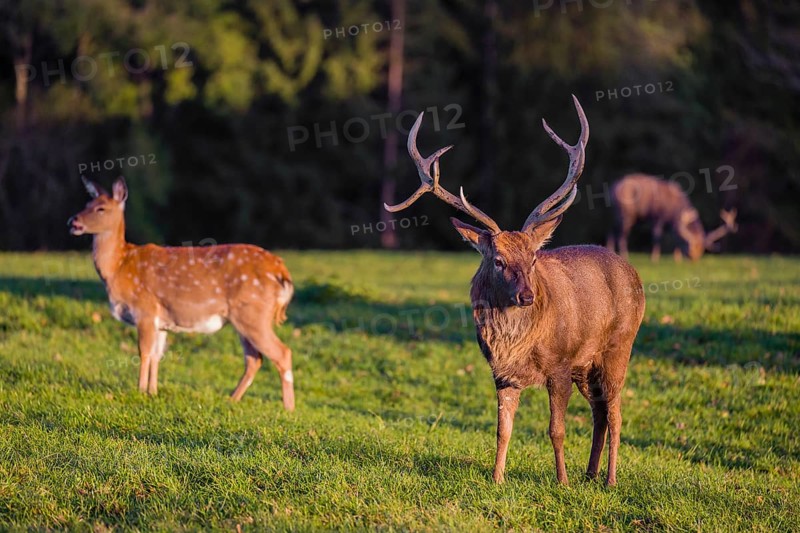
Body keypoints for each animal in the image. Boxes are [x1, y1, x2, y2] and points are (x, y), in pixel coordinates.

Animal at [68, 177, 296, 410]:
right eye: (86, 203)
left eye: (101, 208)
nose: (73, 221)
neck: (119, 267)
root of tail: (281, 270)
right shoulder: (160, 322)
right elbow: (157, 355)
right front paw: (152, 392)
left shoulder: (145, 309)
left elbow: (144, 352)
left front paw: (140, 391)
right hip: (245, 317)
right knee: (254, 358)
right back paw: (231, 399)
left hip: (253, 313)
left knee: (282, 353)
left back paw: (288, 409)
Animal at [384, 96, 645, 486]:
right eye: (498, 260)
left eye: (534, 258)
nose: (526, 296)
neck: (517, 344)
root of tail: (634, 274)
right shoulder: (502, 375)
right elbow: (502, 430)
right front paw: (497, 479)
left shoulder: (560, 364)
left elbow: (556, 430)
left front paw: (561, 481)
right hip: (587, 365)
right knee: (599, 412)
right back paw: (590, 474)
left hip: (618, 347)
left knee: (614, 414)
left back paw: (610, 479)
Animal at [606, 173, 738, 262]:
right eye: (691, 244)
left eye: (701, 248)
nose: (693, 258)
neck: (675, 211)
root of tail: (612, 188)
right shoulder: (658, 216)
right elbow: (657, 236)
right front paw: (654, 258)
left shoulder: (672, 223)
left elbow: (675, 237)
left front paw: (677, 258)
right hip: (626, 213)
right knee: (622, 234)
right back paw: (625, 255)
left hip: (616, 214)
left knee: (612, 231)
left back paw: (610, 249)